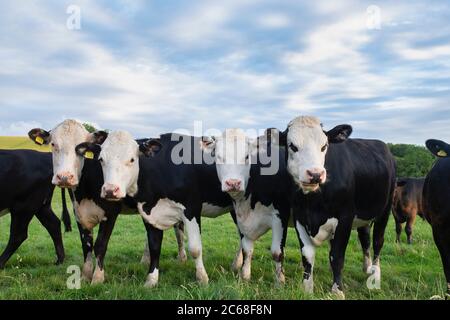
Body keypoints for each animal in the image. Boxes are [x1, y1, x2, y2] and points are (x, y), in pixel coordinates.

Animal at [200, 129, 292, 284]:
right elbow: (246, 249)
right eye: (218, 157)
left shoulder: (281, 216)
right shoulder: (240, 216)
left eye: (247, 156)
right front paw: (245, 276)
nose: (233, 183)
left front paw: (280, 282)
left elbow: (277, 252)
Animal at [270, 116, 394, 298]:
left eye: (324, 146)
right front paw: (307, 288)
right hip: (363, 217)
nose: (315, 174)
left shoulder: (345, 218)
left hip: (385, 210)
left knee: (378, 241)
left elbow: (337, 256)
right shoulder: (300, 217)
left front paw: (337, 291)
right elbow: (307, 255)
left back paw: (375, 275)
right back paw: (367, 268)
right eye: (292, 146)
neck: (313, 202)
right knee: (365, 239)